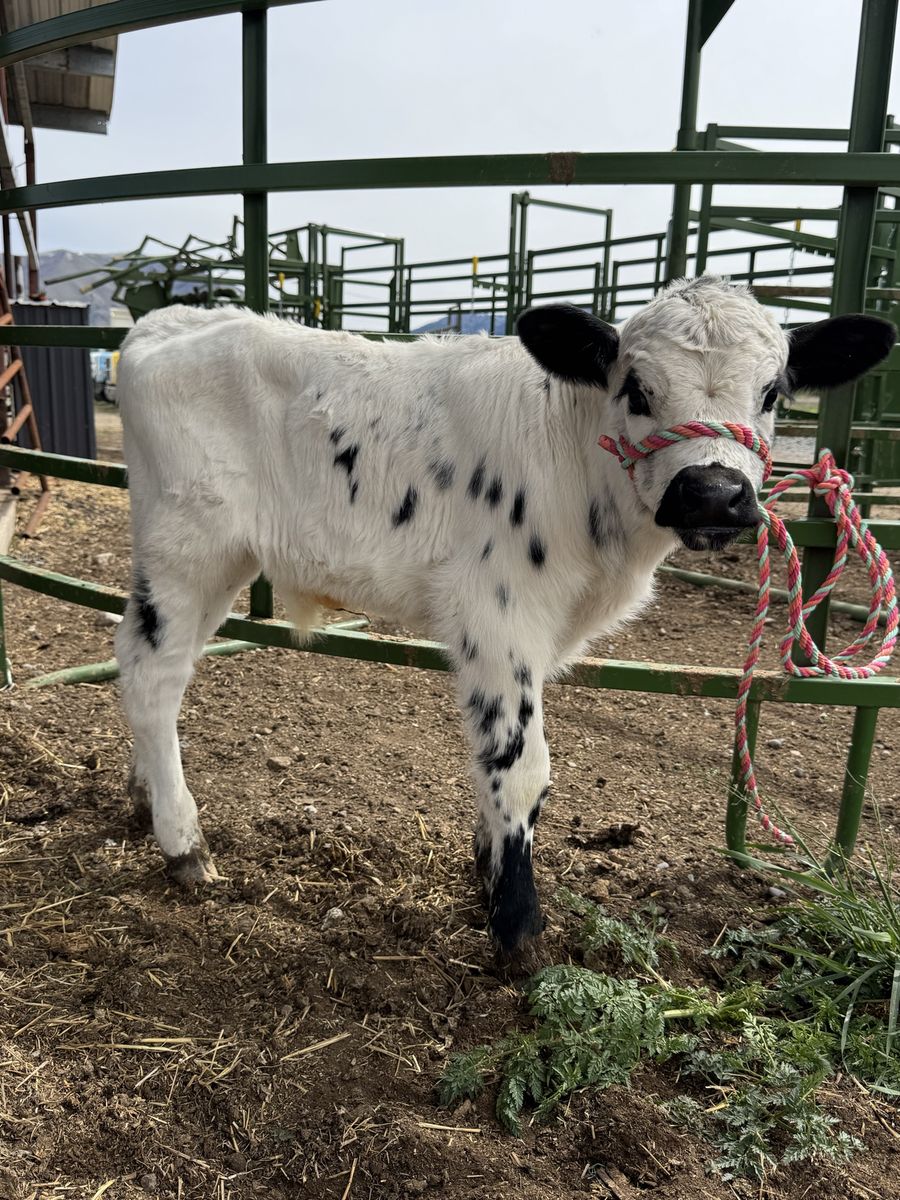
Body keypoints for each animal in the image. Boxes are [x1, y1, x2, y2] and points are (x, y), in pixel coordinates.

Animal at [114, 276, 895, 957]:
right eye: (636, 387)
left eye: (773, 391)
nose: (712, 493)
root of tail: (169, 322)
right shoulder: (496, 615)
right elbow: (523, 768)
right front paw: (517, 926)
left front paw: (486, 874)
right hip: (189, 550)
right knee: (153, 679)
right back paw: (183, 844)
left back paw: (143, 797)